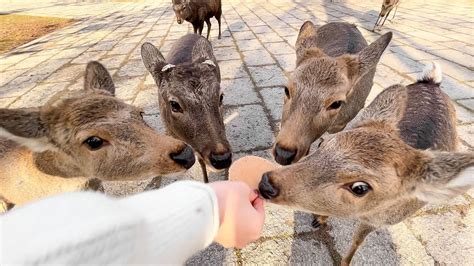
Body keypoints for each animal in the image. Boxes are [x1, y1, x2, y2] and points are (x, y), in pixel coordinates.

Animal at [260, 62, 474, 266]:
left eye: (360, 188)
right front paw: (319, 219)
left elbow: (357, 241)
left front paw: (344, 262)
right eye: (323, 144)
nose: (266, 183)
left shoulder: (378, 221)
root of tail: (432, 82)